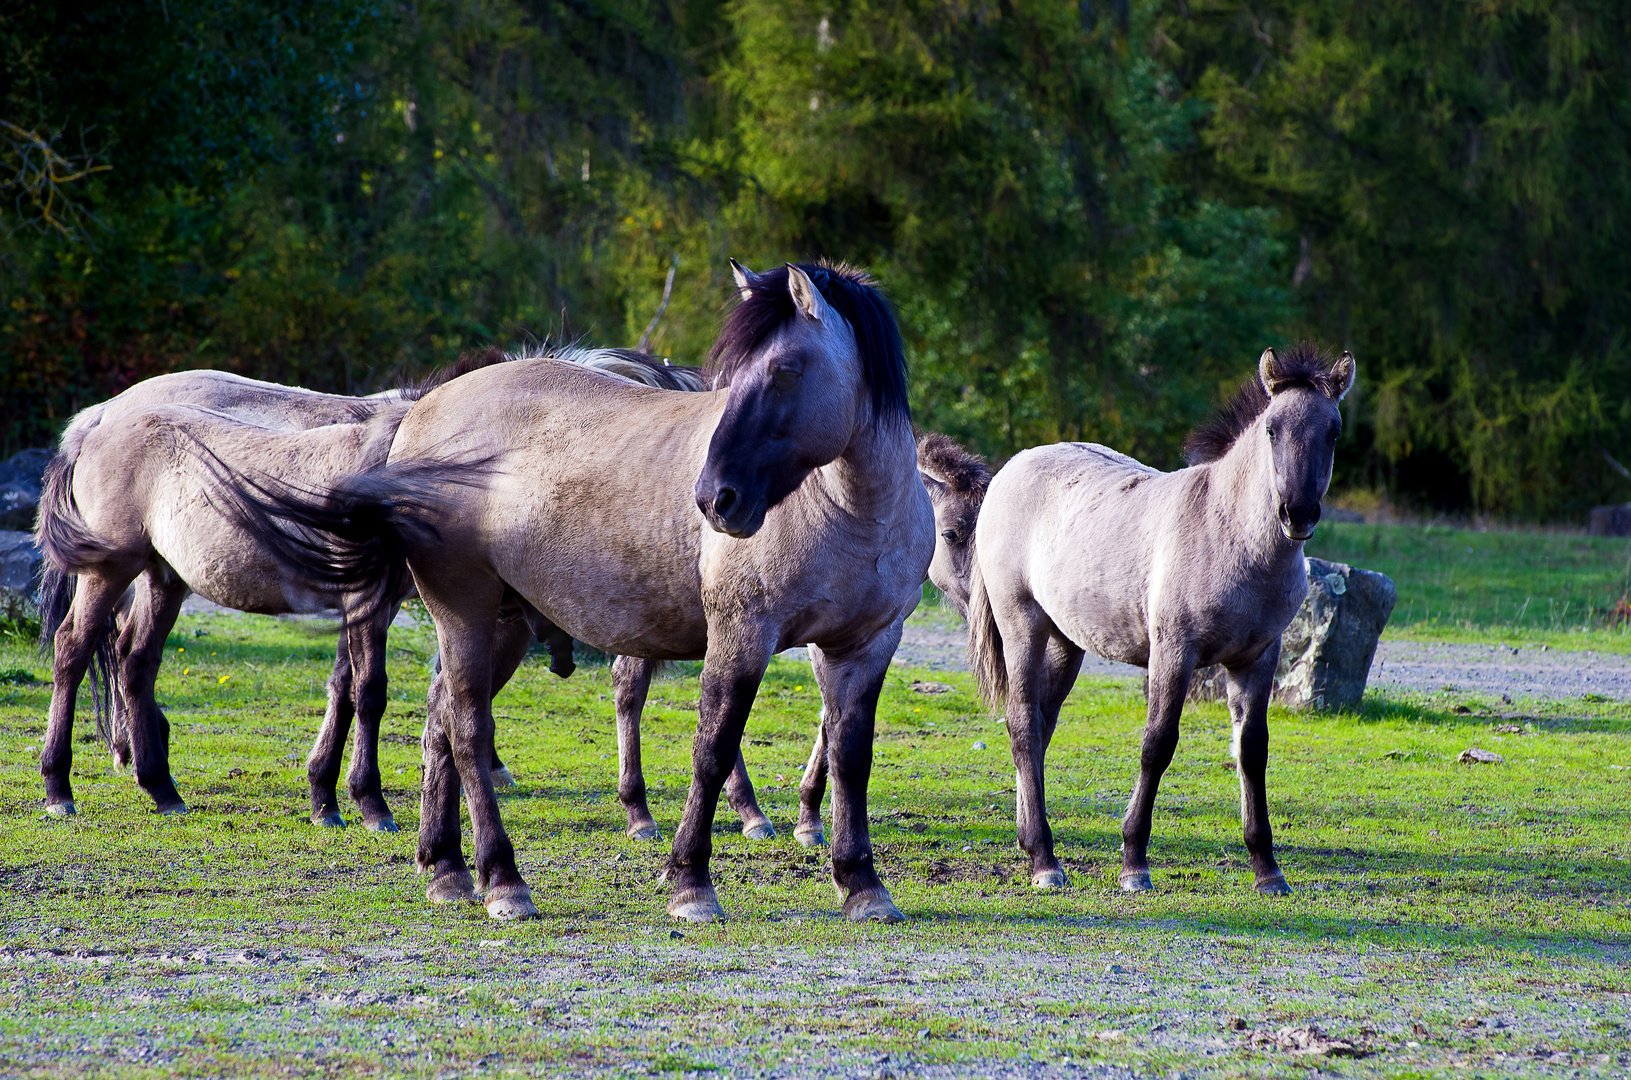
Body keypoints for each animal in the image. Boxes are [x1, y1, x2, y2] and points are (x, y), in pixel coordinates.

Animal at [218, 261, 939, 920]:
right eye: (730, 379)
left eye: (786, 369)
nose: (716, 498)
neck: (849, 513)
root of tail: (420, 411)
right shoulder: (741, 637)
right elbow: (712, 750)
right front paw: (690, 883)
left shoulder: (863, 648)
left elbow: (850, 759)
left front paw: (862, 885)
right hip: (463, 610)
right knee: (469, 731)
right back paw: (503, 882)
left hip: (504, 624)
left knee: (439, 722)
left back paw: (445, 869)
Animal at [959, 347, 1356, 894]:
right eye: (1272, 428)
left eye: (1333, 432)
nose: (1297, 513)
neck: (1230, 534)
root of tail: (1009, 470)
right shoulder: (1174, 651)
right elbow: (1158, 744)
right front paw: (1133, 862)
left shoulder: (1259, 657)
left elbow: (1252, 751)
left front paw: (1267, 870)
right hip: (1023, 625)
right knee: (1022, 723)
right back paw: (1044, 860)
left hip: (1066, 642)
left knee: (1040, 725)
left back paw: (1028, 840)